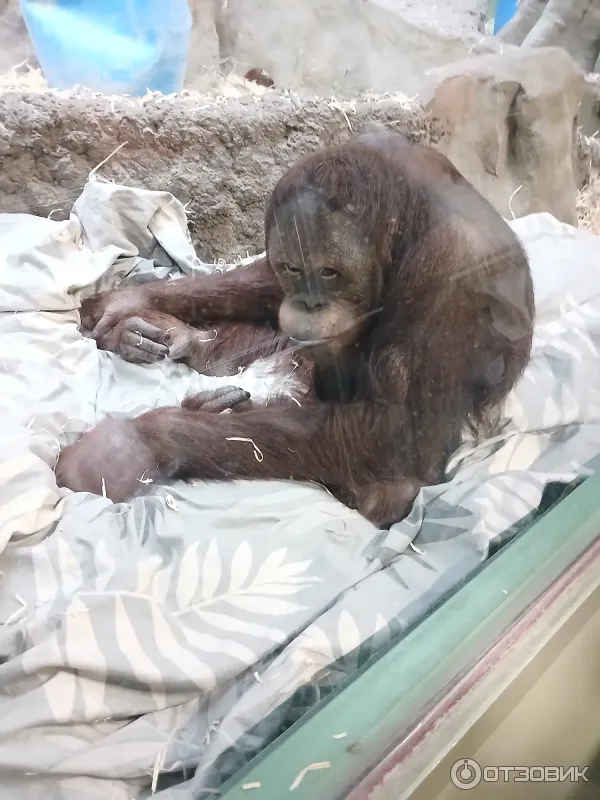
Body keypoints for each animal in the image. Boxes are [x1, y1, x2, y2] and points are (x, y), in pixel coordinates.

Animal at [56, 131, 534, 526]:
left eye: (329, 273)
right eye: (294, 268)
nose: (309, 302)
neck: (406, 230)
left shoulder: (458, 280)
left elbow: (394, 439)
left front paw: (132, 444)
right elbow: (267, 282)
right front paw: (122, 304)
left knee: (390, 486)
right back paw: (175, 342)